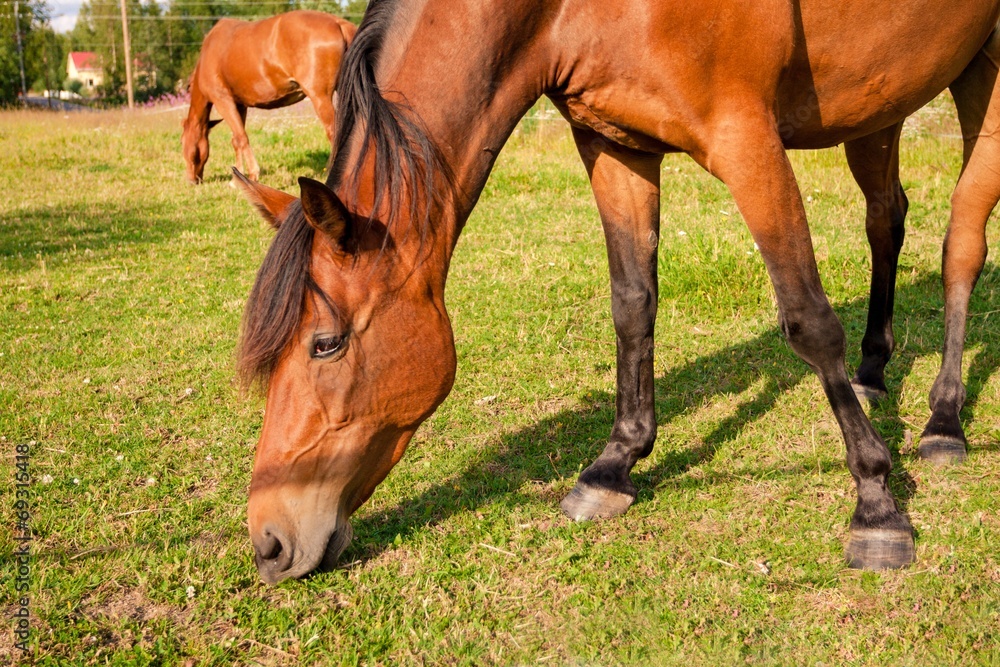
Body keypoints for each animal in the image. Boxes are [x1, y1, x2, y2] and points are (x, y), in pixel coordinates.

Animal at [181, 10, 357, 185]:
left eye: (181, 141)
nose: (191, 180)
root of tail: (339, 23)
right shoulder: (240, 105)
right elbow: (236, 140)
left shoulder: (223, 101)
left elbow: (241, 137)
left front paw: (252, 174)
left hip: (320, 97)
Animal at [234, 0, 1000, 584]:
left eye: (326, 343)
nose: (269, 542)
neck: (563, 11)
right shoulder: (615, 145)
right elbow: (633, 303)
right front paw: (615, 464)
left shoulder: (745, 137)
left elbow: (808, 319)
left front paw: (877, 502)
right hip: (881, 99)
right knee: (886, 219)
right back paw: (874, 369)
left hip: (983, 77)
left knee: (962, 244)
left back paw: (943, 421)